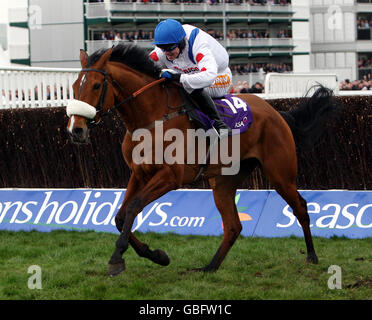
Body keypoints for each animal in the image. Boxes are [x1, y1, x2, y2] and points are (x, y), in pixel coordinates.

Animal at [66, 43, 334, 276]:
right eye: (75, 86)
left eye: (97, 85)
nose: (76, 129)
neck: (152, 118)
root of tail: (277, 113)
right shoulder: (139, 173)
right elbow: (120, 217)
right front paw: (156, 255)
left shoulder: (170, 176)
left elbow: (133, 207)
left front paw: (117, 259)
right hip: (224, 181)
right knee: (233, 226)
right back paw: (209, 267)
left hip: (280, 174)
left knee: (300, 207)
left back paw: (312, 256)